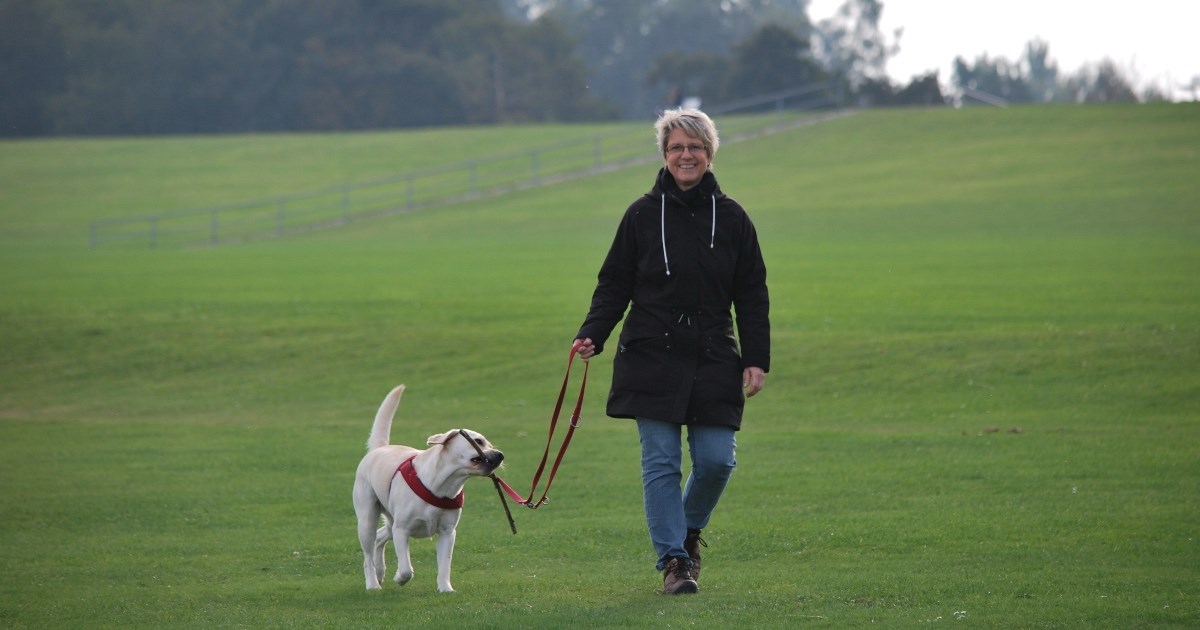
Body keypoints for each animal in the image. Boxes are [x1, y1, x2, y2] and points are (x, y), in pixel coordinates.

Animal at [355, 381, 506, 592]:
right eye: (478, 441)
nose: (501, 455)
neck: (442, 485)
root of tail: (380, 448)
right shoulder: (402, 530)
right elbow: (406, 568)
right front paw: (399, 578)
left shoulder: (447, 533)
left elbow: (444, 565)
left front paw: (445, 589)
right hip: (367, 518)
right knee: (368, 553)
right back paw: (372, 583)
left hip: (390, 521)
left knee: (379, 537)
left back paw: (380, 572)